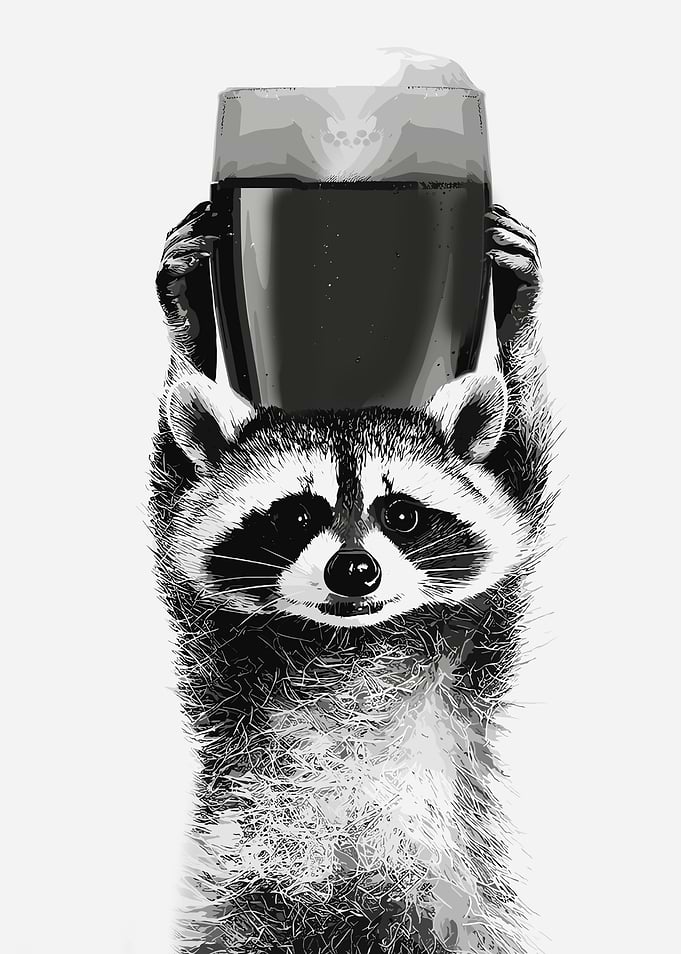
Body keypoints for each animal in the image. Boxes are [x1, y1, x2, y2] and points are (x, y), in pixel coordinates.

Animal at [150, 202, 555, 954]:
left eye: (401, 514)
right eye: (295, 515)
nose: (355, 570)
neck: (349, 640)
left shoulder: (475, 637)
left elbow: (521, 474)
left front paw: (519, 323)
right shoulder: (214, 641)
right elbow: (174, 486)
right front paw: (186, 323)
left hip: (459, 914)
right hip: (240, 908)